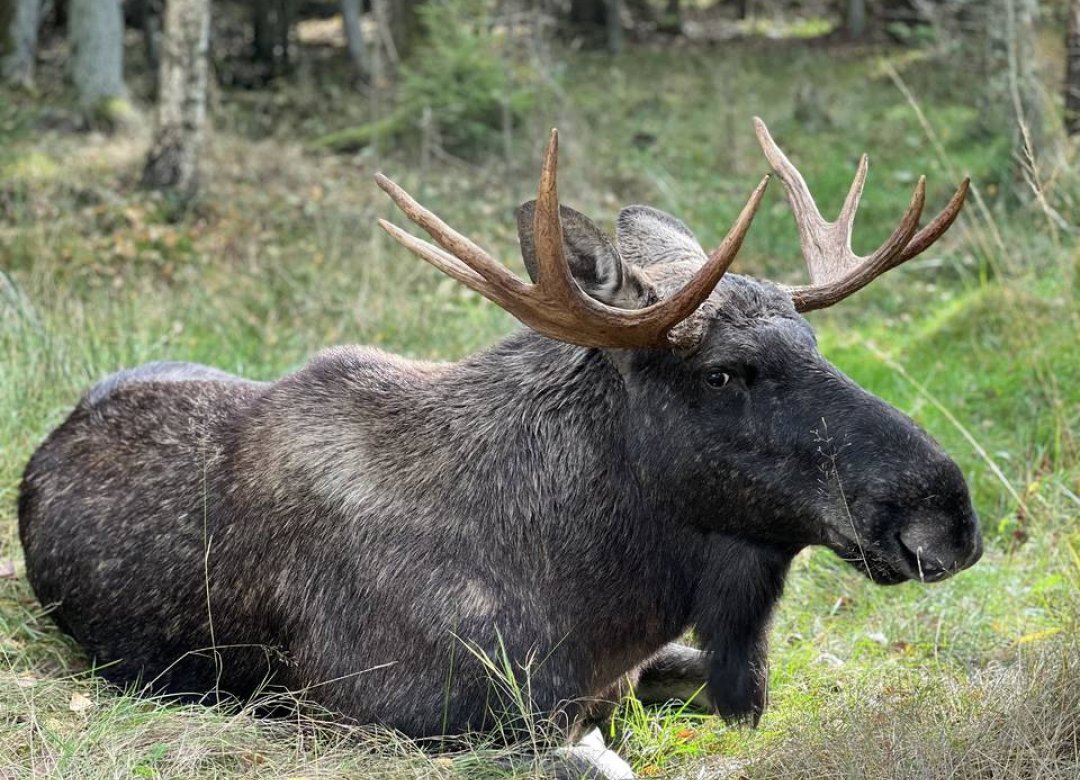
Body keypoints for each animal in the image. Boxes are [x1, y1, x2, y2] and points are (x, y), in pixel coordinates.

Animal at [18, 119, 981, 779]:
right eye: (722, 374)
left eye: (815, 345)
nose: (948, 516)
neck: (592, 586)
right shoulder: (376, 724)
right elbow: (599, 761)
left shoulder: (629, 671)